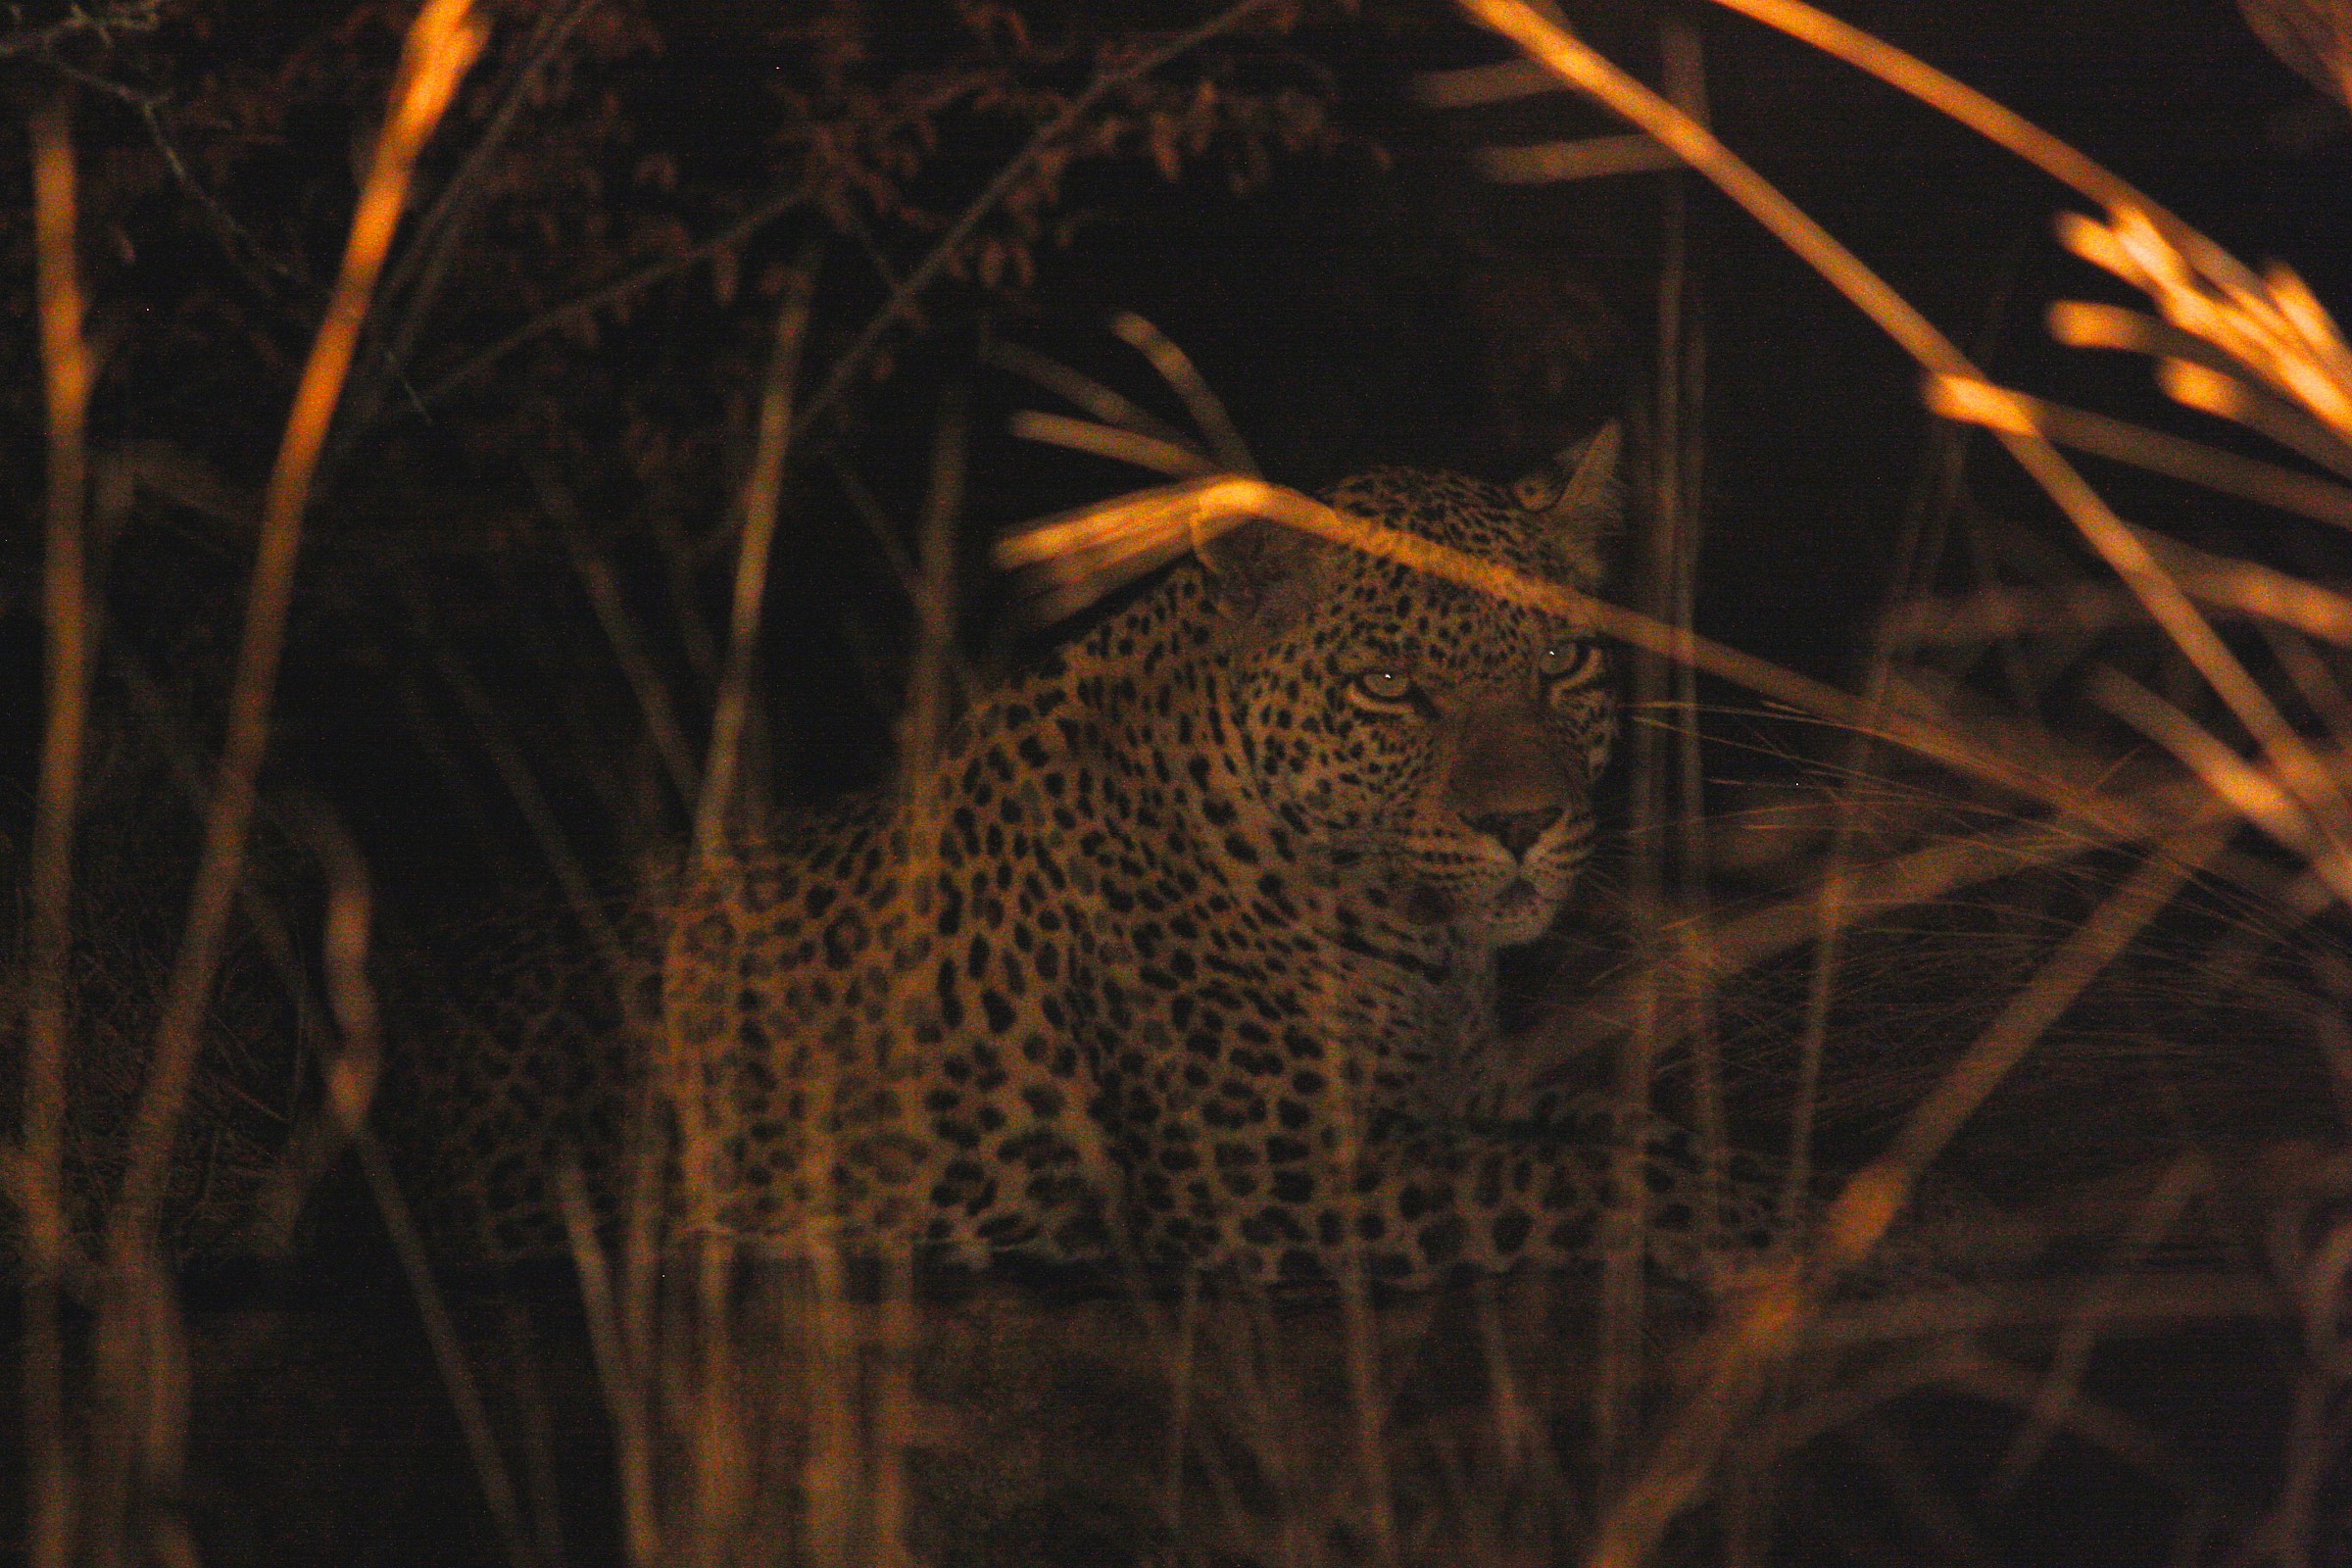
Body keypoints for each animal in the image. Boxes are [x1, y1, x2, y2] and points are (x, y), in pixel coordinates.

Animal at [383, 427, 1788, 1289]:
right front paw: (1747, 1225)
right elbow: (1577, 1186)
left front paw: (1768, 1180)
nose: (1524, 824)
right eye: (1390, 686)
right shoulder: (1273, 1178)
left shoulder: (1460, 1094)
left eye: (1561, 660)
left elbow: (1631, 1130)